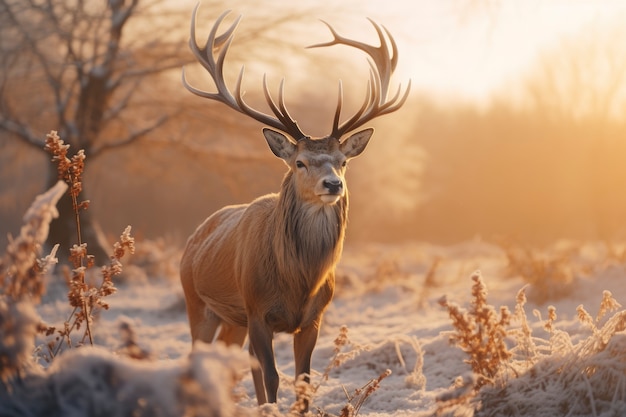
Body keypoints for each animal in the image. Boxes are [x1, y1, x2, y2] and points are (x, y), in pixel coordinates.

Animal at [178, 5, 408, 410]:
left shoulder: (313, 318)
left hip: (232, 320)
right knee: (201, 356)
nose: (333, 184)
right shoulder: (257, 310)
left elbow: (303, 379)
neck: (298, 282)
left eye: (343, 162)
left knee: (236, 361)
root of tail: (193, 239)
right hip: (196, 301)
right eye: (300, 162)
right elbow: (272, 376)